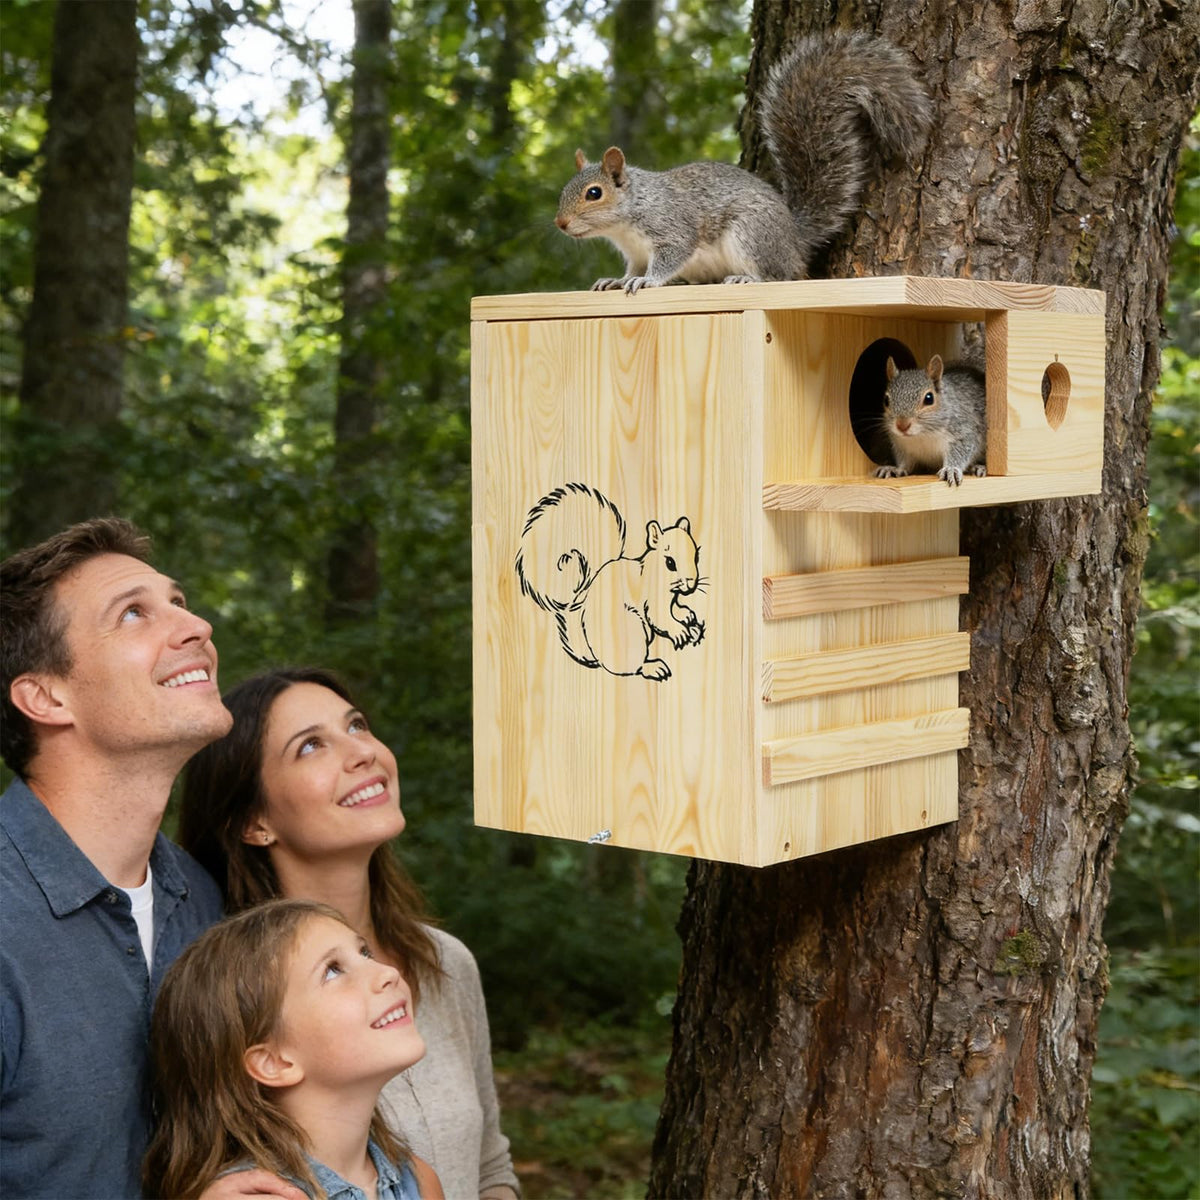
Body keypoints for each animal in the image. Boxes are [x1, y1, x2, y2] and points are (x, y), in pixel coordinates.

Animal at [514, 483, 705, 681]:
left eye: (696, 557)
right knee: (632, 667)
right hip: (632, 629)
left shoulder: (671, 600)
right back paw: (653, 667)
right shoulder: (652, 602)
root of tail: (595, 656)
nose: (691, 584)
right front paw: (680, 631)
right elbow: (661, 618)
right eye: (670, 563)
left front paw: (687, 616)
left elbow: (674, 609)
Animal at [554, 31, 932, 293]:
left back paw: (748, 279)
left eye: (593, 193)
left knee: (779, 276)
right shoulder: (635, 253)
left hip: (752, 234)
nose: (560, 223)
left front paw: (649, 282)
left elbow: (670, 257)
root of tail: (793, 240)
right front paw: (616, 281)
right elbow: (631, 270)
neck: (628, 217)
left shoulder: (672, 228)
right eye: (564, 190)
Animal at [873, 355, 988, 486]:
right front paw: (895, 469)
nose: (902, 425)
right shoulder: (902, 446)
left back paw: (980, 467)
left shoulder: (963, 431)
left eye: (929, 398)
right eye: (886, 400)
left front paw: (951, 469)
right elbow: (905, 462)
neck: (922, 435)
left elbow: (961, 452)